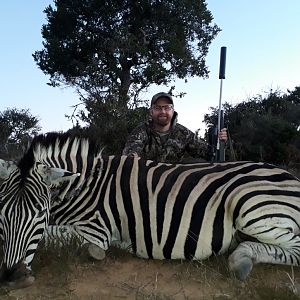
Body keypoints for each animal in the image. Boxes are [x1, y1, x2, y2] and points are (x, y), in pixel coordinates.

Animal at [0, 132, 300, 288]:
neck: (85, 184)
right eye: (2, 215)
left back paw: (240, 259)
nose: (13, 277)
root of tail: (291, 177)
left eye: (40, 215)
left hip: (250, 205)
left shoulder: (95, 232)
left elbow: (58, 236)